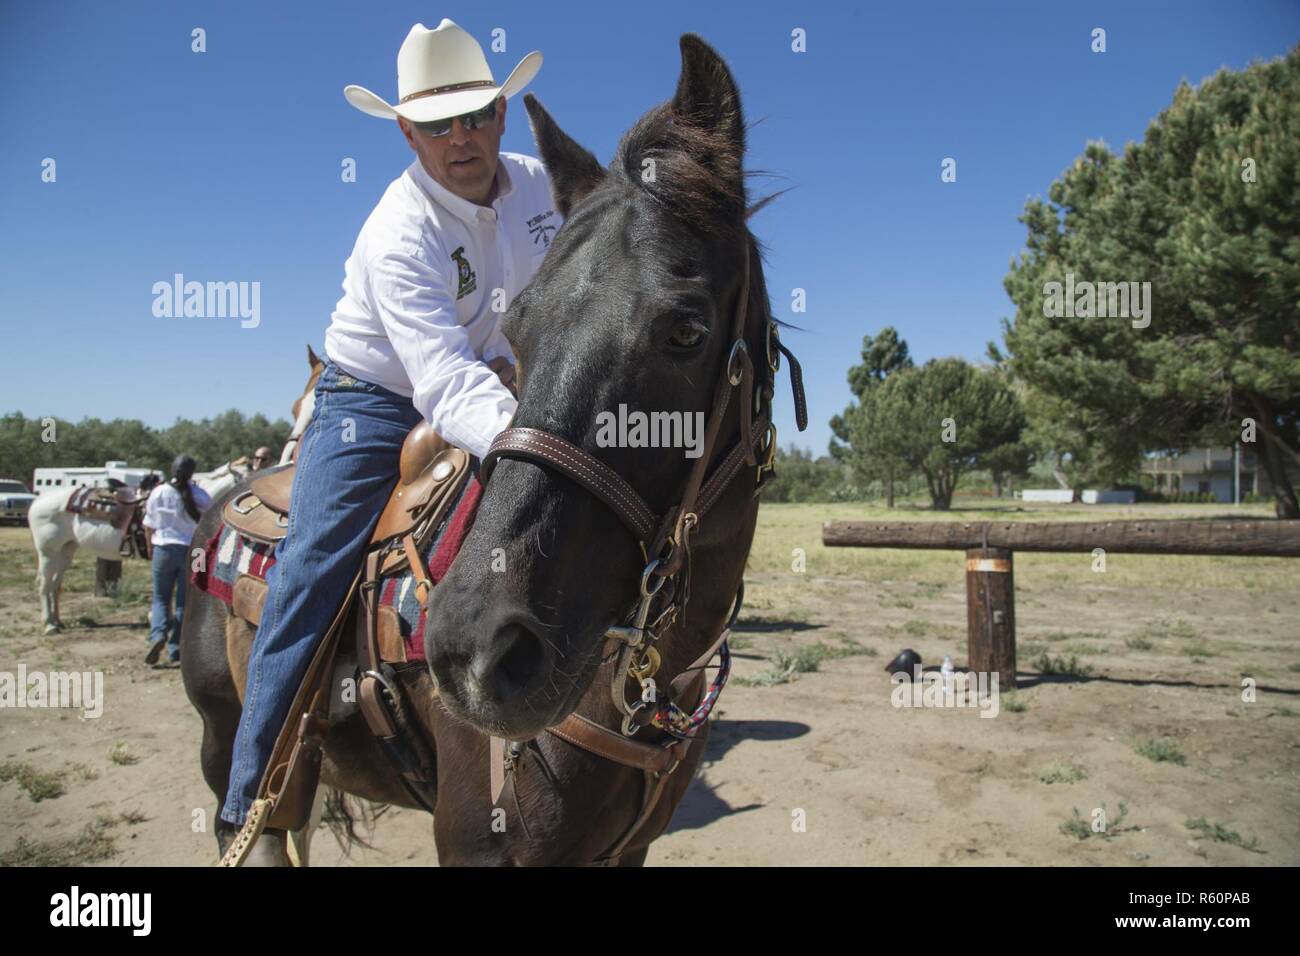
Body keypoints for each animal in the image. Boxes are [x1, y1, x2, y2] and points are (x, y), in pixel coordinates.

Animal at [28, 347, 324, 635]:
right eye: (295, 409)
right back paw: (49, 623)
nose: (287, 457)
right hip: (49, 549)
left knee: (55, 581)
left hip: (66, 547)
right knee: (45, 582)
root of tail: (38, 502)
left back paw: (55, 620)